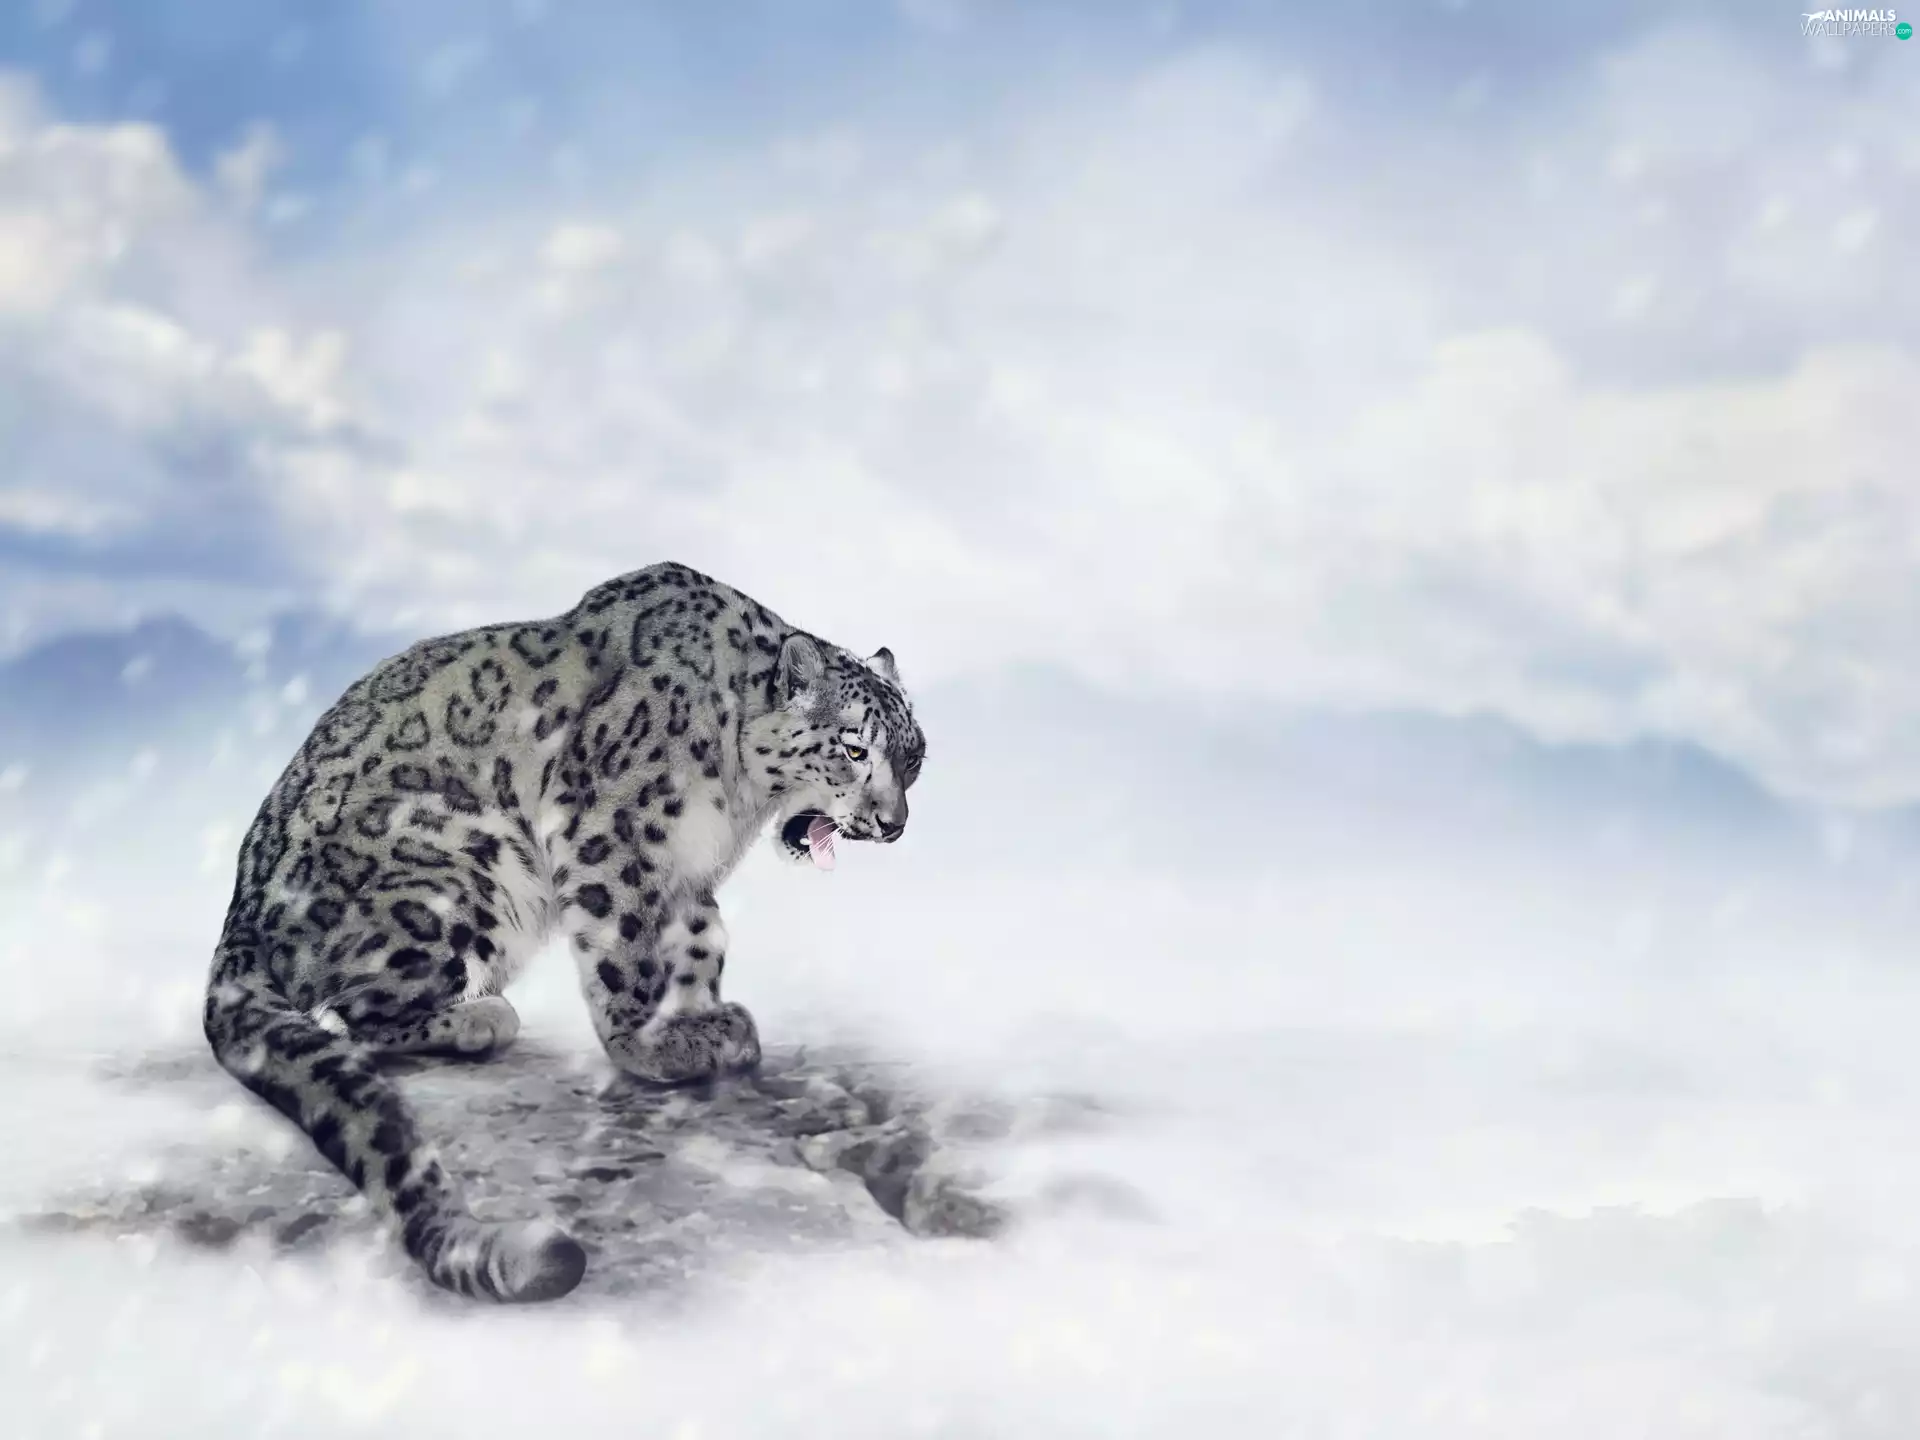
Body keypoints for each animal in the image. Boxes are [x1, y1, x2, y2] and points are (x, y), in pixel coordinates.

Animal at [203, 562, 925, 1302]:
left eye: (914, 756)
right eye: (853, 748)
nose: (893, 823)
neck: (740, 799)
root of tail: (240, 916)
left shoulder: (686, 869)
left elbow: (701, 939)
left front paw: (706, 1019)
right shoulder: (613, 830)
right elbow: (627, 946)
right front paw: (651, 1043)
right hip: (467, 868)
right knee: (351, 1010)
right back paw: (480, 1018)